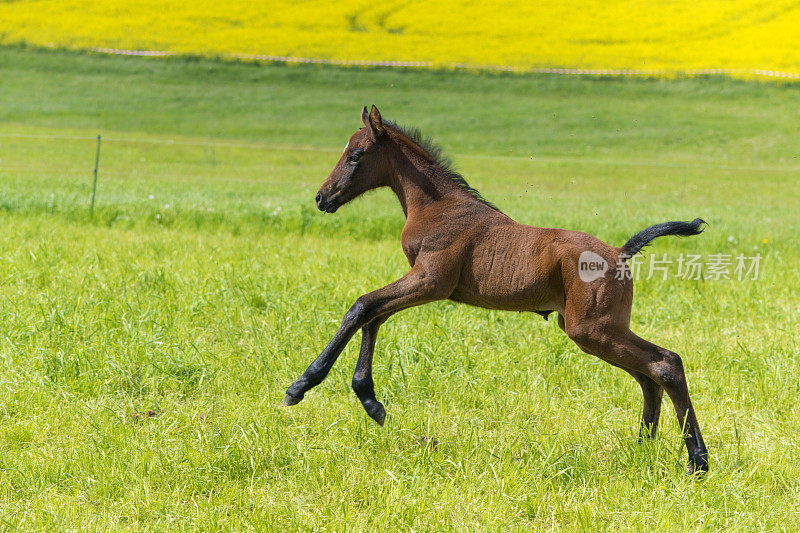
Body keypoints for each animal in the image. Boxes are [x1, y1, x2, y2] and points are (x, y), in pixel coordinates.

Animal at [284, 106, 708, 472]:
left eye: (355, 155)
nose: (322, 197)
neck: (437, 207)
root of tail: (620, 252)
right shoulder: (422, 282)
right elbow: (374, 315)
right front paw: (370, 401)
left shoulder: (431, 280)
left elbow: (361, 306)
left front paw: (301, 385)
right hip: (598, 328)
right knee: (648, 375)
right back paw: (643, 449)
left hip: (591, 328)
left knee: (665, 363)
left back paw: (697, 461)